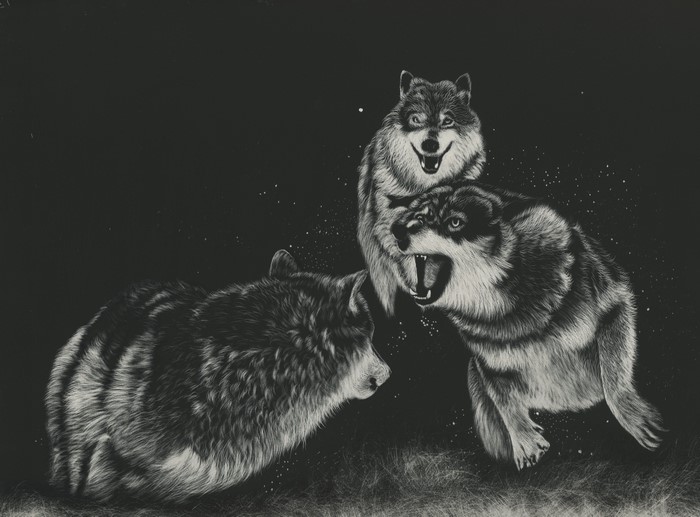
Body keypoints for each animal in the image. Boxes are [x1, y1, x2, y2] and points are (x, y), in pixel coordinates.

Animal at [390, 182, 665, 470]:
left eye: (455, 222)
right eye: (418, 217)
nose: (397, 230)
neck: (508, 308)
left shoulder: (614, 303)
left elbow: (613, 380)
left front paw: (634, 417)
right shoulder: (486, 361)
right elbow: (505, 403)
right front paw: (525, 442)